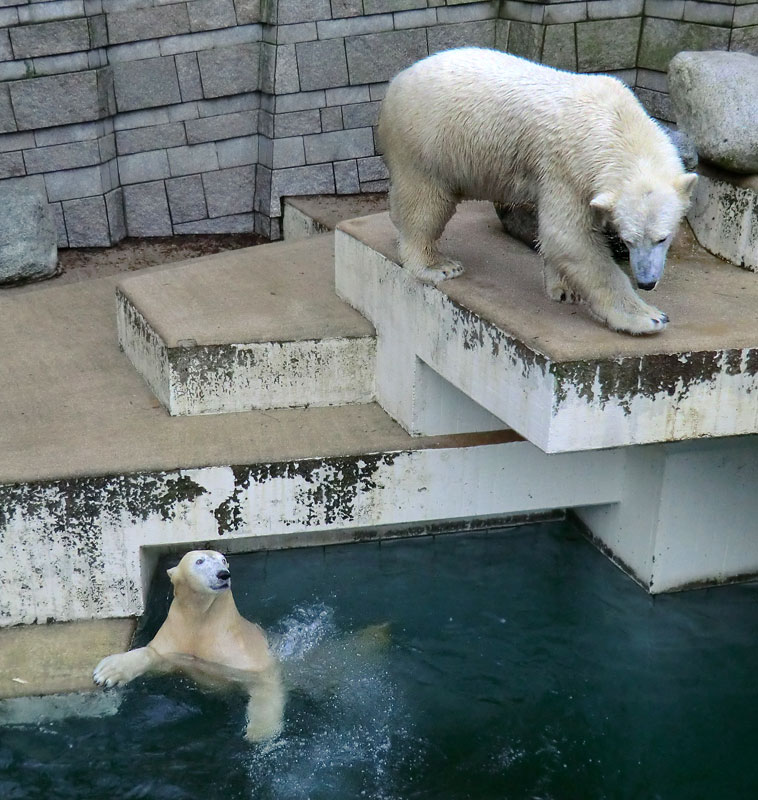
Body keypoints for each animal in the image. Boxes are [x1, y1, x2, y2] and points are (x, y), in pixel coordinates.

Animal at [94, 552, 284, 744]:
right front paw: (107, 672)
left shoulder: (241, 656)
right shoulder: (176, 638)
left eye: (223, 560)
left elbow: (264, 684)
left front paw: (260, 732)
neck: (203, 621)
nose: (223, 574)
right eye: (199, 561)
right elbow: (155, 655)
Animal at [380, 47, 700, 334]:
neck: (615, 123)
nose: (647, 282)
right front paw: (648, 316)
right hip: (427, 141)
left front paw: (565, 288)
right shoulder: (568, 166)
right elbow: (568, 235)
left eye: (663, 238)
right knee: (425, 203)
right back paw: (437, 265)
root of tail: (399, 79)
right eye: (628, 239)